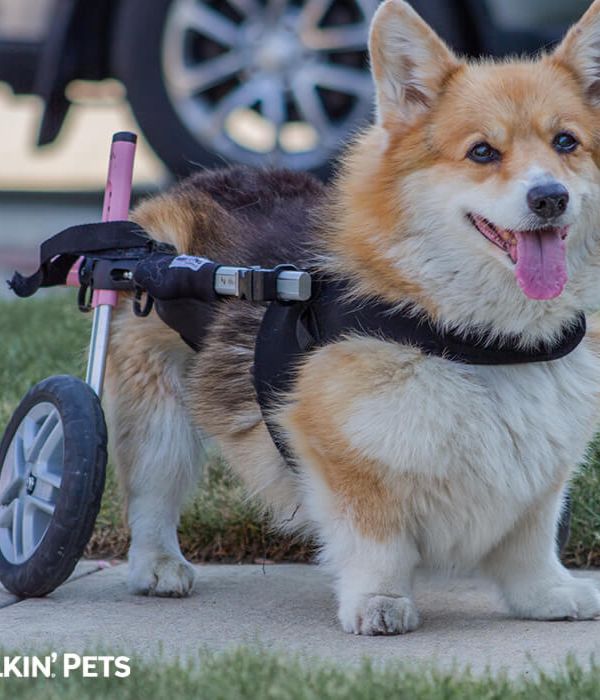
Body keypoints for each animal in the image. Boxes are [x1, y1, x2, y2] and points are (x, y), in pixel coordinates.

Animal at [105, 1, 600, 636]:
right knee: (150, 493)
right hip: (159, 413)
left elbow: (529, 543)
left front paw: (546, 594)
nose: (549, 198)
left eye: (566, 142)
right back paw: (158, 566)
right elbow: (376, 539)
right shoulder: (343, 456)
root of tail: (196, 182)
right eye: (482, 152)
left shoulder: (540, 474)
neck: (482, 340)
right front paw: (380, 601)